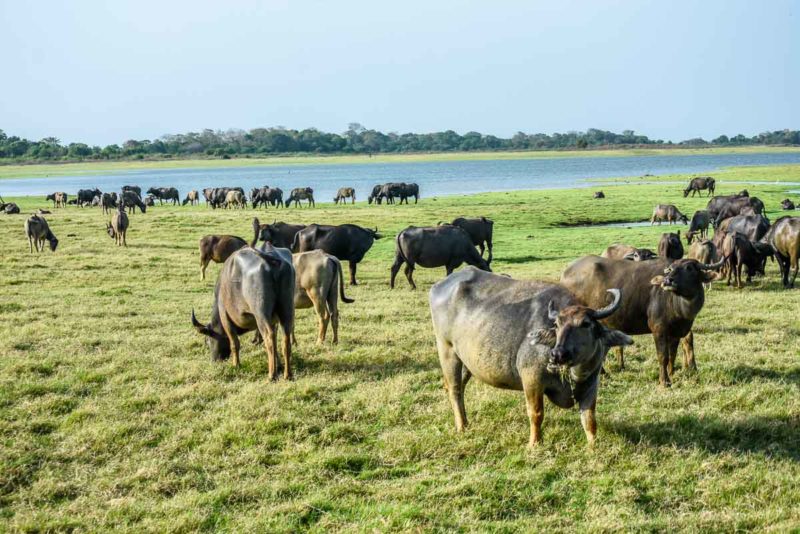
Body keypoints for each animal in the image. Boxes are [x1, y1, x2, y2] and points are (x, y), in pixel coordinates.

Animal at [191, 247, 296, 382]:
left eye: (207, 341)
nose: (214, 361)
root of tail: (271, 261)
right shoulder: (274, 321)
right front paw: (278, 364)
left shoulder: (225, 317)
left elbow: (234, 343)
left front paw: (236, 365)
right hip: (287, 311)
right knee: (285, 339)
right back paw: (288, 374)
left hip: (261, 314)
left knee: (269, 338)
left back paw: (271, 375)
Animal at [428, 268, 636, 448]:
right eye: (557, 324)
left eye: (585, 324)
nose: (557, 354)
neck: (574, 373)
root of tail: (441, 284)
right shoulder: (532, 379)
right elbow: (536, 413)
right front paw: (535, 443)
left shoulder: (591, 384)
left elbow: (590, 418)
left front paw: (593, 446)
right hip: (447, 350)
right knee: (454, 389)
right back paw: (462, 426)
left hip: (466, 360)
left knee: (458, 387)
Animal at [560, 255, 720, 386]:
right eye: (671, 269)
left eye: (689, 268)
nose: (668, 281)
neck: (678, 305)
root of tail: (565, 273)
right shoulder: (658, 329)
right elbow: (663, 356)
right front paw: (664, 381)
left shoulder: (676, 332)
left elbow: (673, 355)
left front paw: (672, 374)